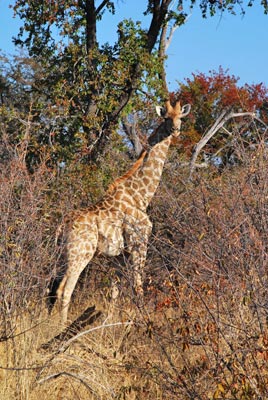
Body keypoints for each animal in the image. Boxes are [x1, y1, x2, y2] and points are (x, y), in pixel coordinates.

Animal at [56, 101, 191, 324]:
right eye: (165, 118)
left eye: (181, 117)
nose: (175, 130)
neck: (140, 196)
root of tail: (61, 227)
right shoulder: (139, 242)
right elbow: (138, 286)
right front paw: (144, 322)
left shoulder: (119, 255)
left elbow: (114, 292)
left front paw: (108, 323)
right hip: (80, 254)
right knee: (66, 290)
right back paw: (61, 326)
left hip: (62, 256)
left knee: (56, 289)